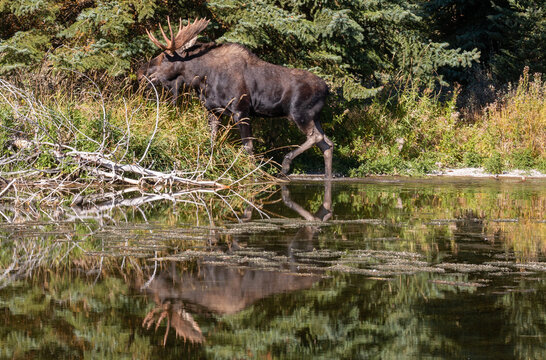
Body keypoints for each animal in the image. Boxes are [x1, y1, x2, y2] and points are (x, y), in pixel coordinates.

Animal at [136, 17, 332, 178]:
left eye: (165, 56)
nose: (141, 72)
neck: (202, 78)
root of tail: (327, 89)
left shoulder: (241, 110)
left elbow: (248, 147)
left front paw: (254, 174)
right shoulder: (213, 111)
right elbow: (212, 141)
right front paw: (208, 165)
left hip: (300, 114)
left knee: (317, 138)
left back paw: (285, 165)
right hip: (315, 117)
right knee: (327, 144)